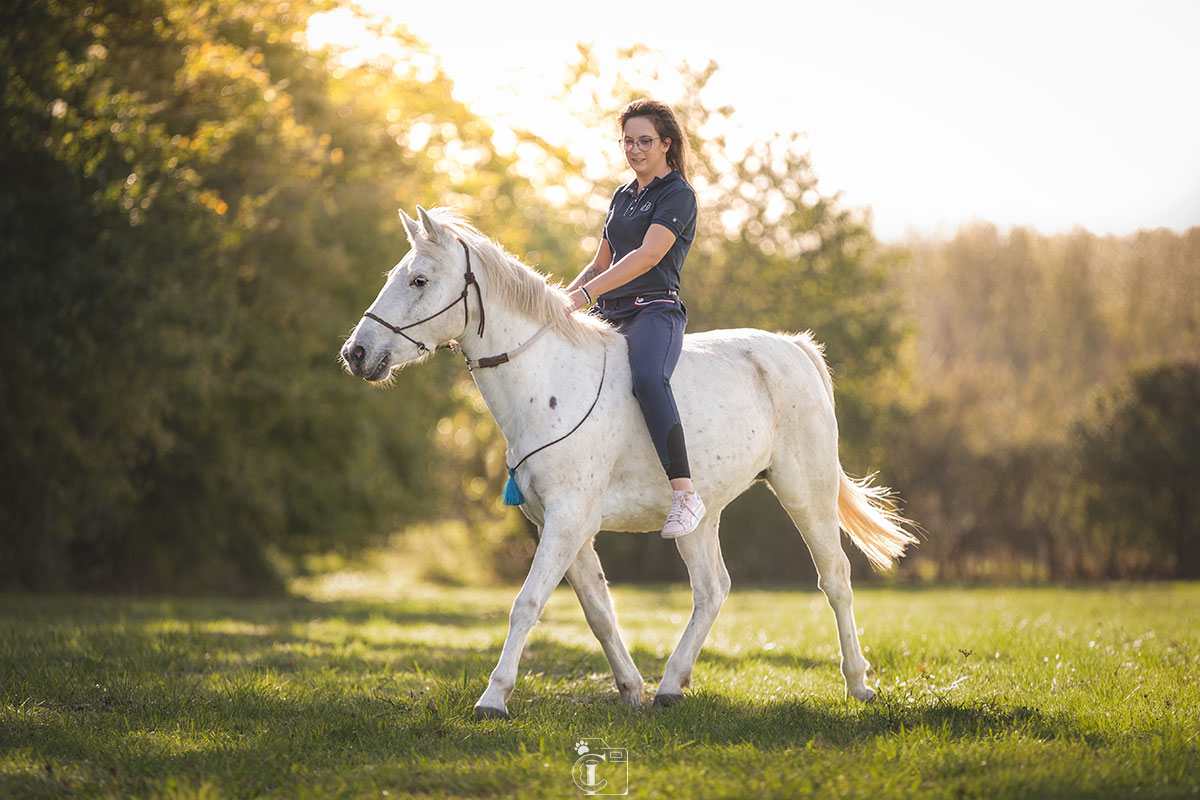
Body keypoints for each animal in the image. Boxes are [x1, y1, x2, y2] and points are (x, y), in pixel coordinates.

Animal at [340, 206, 916, 719]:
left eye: (418, 280)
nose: (356, 354)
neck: (547, 383)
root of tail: (796, 349)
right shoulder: (561, 525)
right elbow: (598, 610)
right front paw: (630, 689)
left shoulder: (569, 520)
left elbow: (527, 603)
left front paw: (493, 699)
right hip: (699, 516)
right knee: (712, 589)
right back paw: (670, 686)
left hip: (805, 491)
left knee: (835, 577)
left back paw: (858, 685)